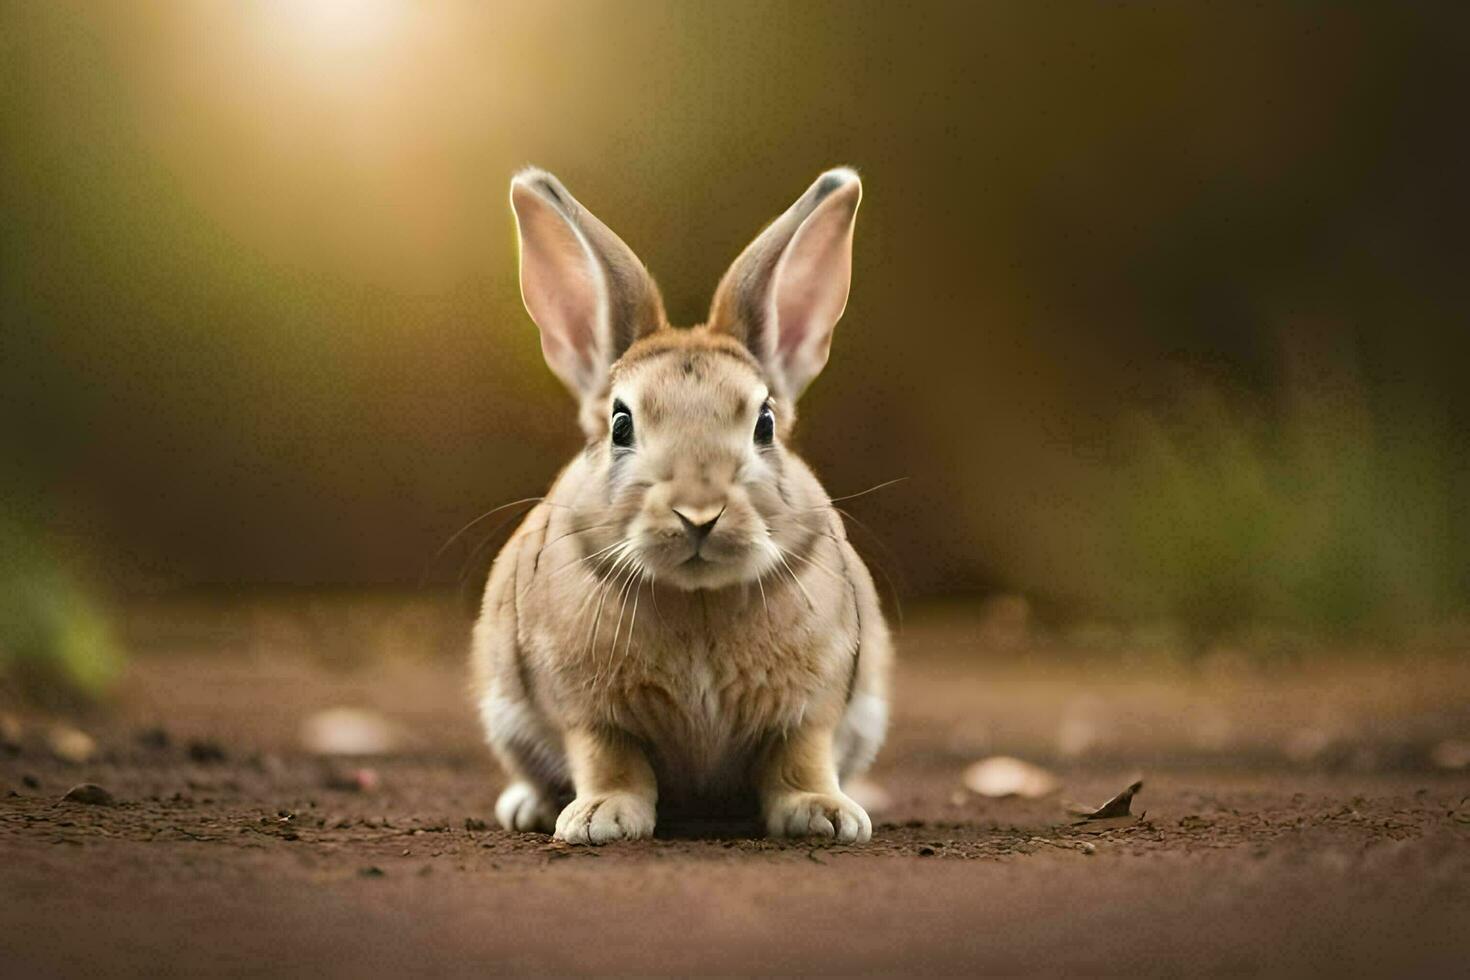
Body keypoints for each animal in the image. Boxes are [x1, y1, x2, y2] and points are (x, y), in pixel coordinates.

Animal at [470, 166, 887, 846]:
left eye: (765, 423)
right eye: (620, 425)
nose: (699, 513)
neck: (697, 600)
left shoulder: (813, 707)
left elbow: (800, 757)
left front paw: (827, 815)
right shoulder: (587, 712)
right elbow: (609, 760)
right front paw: (600, 819)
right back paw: (527, 807)